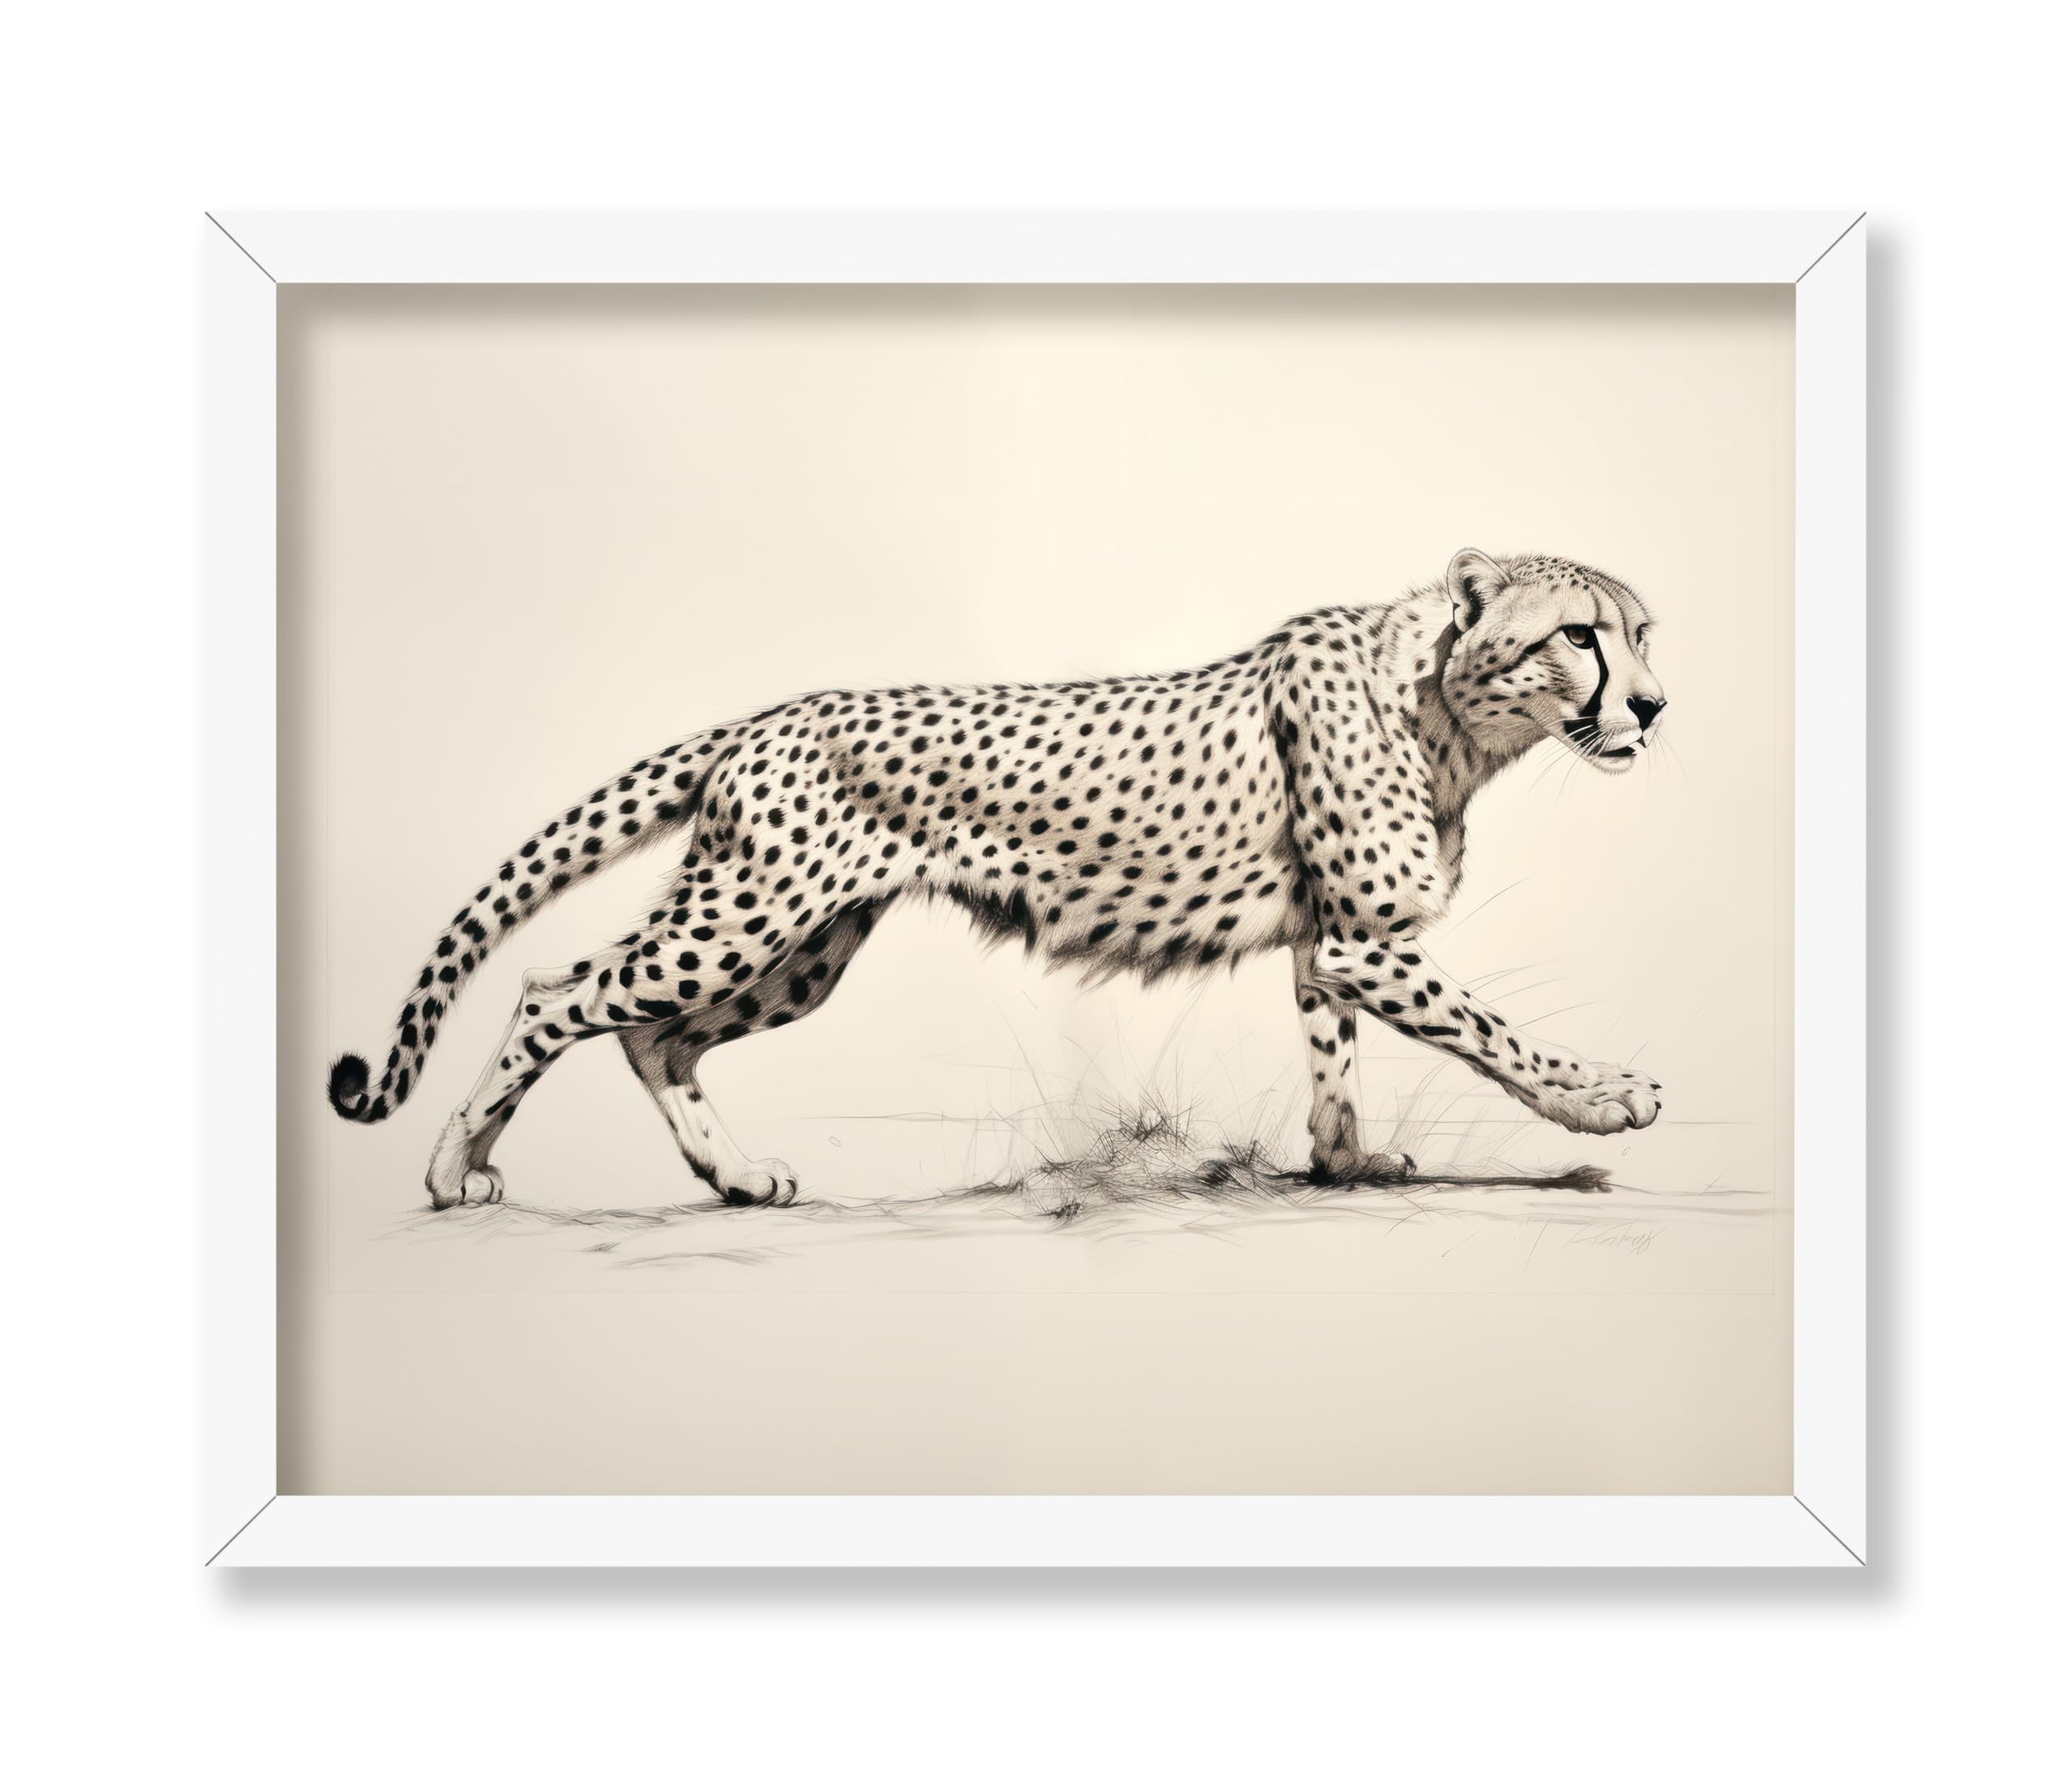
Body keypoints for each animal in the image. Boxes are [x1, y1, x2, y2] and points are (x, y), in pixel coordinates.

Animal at [328, 548, 1668, 1210]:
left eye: (1644, 631)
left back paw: (736, 1178)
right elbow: (1494, 1032)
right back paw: (451, 1171)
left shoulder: (1328, 942)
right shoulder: (1361, 940)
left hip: (802, 949)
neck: (1447, 704)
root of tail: (765, 714)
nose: (1654, 706)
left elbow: (1333, 1062)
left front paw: (1346, 1164)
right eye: (1579, 635)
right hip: (746, 917)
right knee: (558, 989)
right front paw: (1607, 1098)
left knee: (654, 1035)